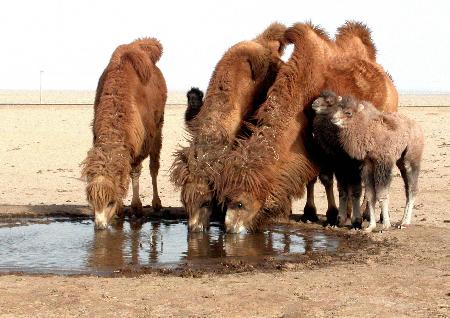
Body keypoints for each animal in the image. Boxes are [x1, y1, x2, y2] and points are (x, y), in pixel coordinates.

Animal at [81, 38, 167, 230]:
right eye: (92, 202)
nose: (100, 225)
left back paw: (157, 203)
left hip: (159, 127)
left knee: (154, 166)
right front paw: (121, 210)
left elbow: (135, 171)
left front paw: (136, 207)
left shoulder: (141, 141)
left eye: (110, 202)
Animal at [217, 21, 398, 232]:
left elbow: (326, 177)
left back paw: (367, 215)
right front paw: (309, 213)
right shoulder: (307, 144)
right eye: (225, 200)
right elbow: (310, 177)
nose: (228, 228)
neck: (302, 94)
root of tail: (389, 83)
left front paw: (332, 215)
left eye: (240, 203)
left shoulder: (325, 145)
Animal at [330, 94, 422, 231]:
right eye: (337, 108)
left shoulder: (382, 161)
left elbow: (382, 193)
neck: (367, 130)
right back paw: (401, 222)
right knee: (407, 188)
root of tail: (418, 127)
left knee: (412, 187)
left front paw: (385, 225)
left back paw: (405, 222)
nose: (333, 119)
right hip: (401, 160)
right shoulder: (367, 163)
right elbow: (370, 194)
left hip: (412, 155)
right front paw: (370, 227)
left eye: (348, 112)